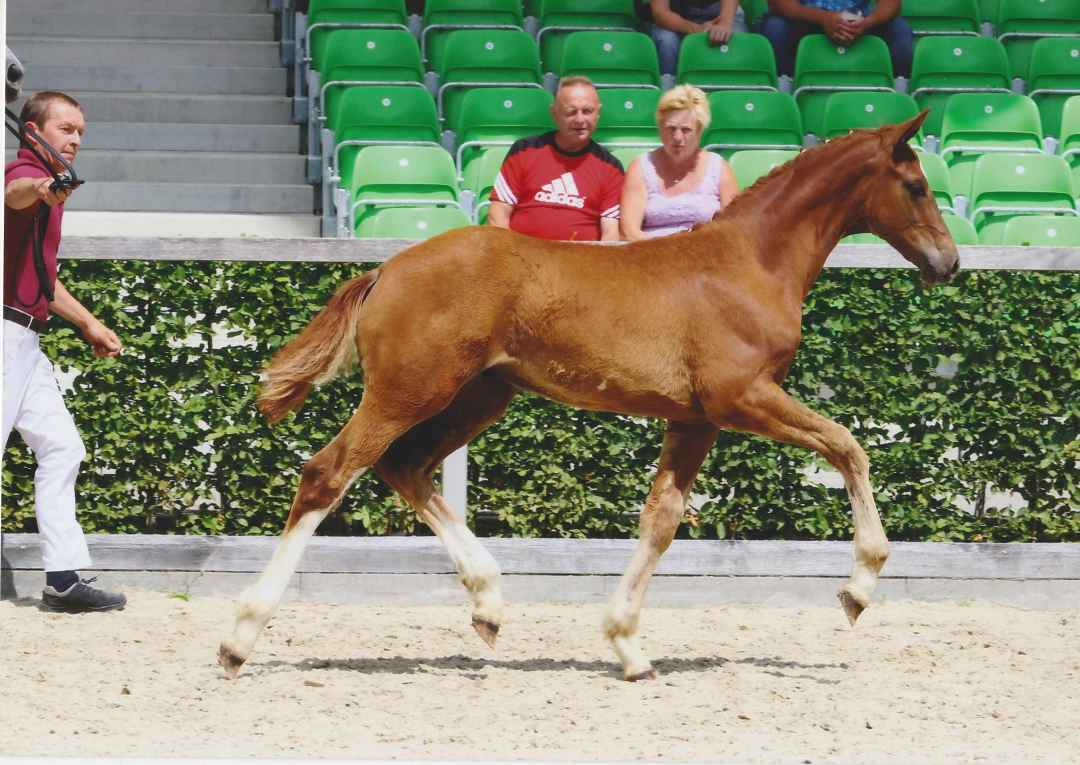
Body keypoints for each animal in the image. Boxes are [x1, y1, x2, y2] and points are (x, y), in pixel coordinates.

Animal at [218, 111, 959, 682]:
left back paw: (489, 604)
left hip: (477, 398)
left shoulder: (695, 419)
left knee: (405, 467)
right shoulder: (741, 398)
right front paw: (859, 587)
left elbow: (662, 518)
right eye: (916, 185)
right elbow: (849, 446)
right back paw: (239, 638)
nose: (949, 263)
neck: (748, 263)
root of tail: (387, 270)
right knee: (329, 472)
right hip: (410, 390)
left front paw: (628, 645)